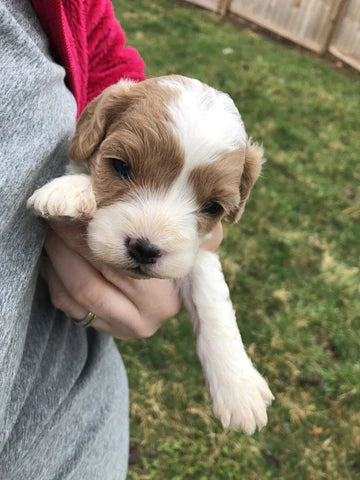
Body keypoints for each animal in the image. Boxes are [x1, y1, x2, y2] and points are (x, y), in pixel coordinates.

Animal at [28, 75, 274, 436]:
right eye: (120, 166)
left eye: (212, 207)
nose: (144, 248)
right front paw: (71, 190)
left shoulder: (196, 252)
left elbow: (212, 298)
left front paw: (237, 386)